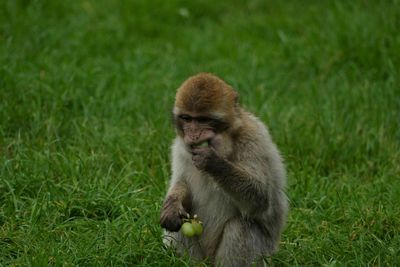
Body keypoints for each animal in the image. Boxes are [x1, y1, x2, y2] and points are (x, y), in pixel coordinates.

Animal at [159, 73, 288, 267]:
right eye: (187, 118)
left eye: (203, 120)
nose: (193, 134)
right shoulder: (180, 148)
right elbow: (182, 187)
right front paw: (172, 205)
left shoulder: (253, 139)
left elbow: (261, 197)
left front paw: (212, 161)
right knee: (181, 221)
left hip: (262, 256)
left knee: (241, 225)